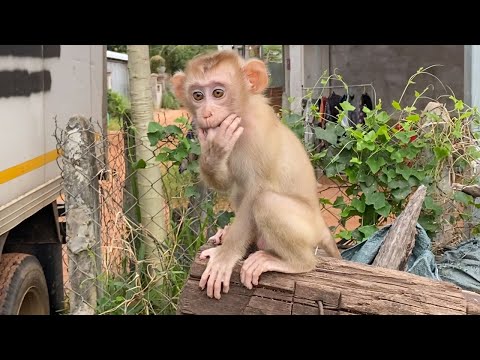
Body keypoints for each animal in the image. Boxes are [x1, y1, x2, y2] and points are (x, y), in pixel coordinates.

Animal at [171, 49, 340, 300]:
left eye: (218, 93)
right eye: (198, 95)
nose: (206, 113)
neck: (243, 114)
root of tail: (321, 226)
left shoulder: (258, 136)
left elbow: (256, 192)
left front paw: (224, 257)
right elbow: (227, 183)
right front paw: (214, 151)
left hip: (308, 230)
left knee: (266, 201)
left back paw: (297, 262)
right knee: (238, 189)